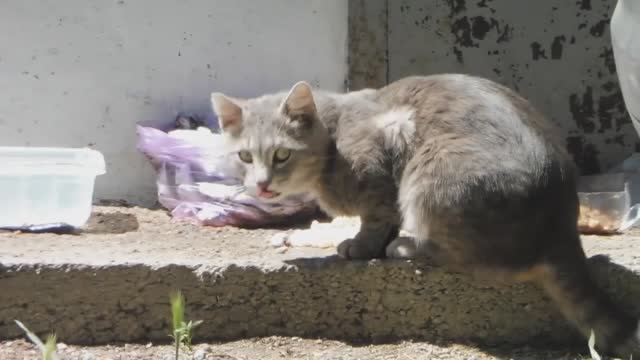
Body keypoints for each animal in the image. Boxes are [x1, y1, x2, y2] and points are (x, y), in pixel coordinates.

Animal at [211, 74, 640, 358]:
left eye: (282, 154)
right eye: (244, 156)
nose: (262, 186)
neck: (334, 136)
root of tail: (559, 227)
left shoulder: (386, 148)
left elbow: (376, 215)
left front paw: (362, 245)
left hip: (431, 177)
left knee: (466, 257)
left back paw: (406, 246)